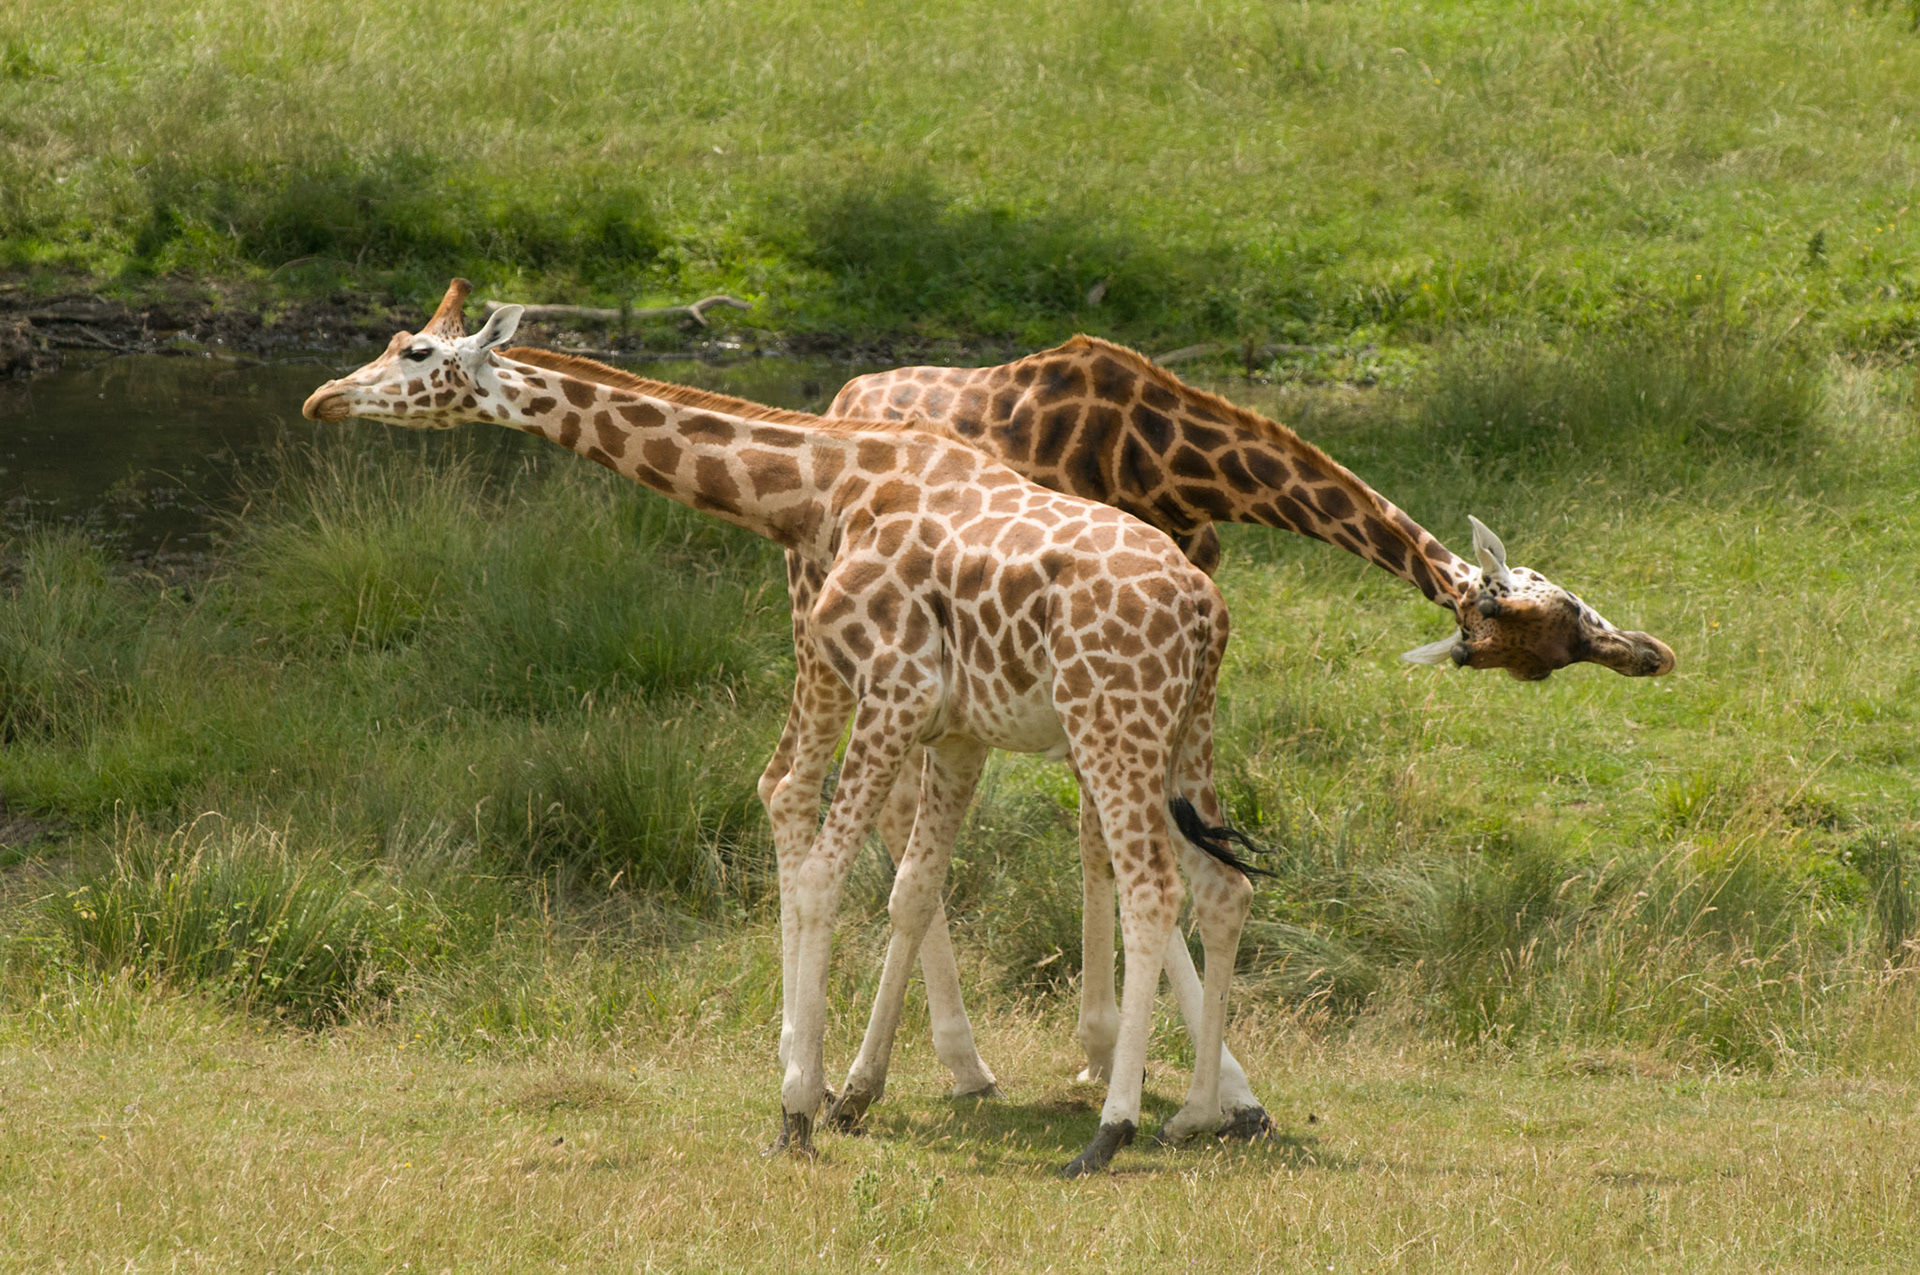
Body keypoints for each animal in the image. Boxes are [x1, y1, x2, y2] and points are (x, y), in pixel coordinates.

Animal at [301, 280, 1269, 1175]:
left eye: (418, 351)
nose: (324, 398)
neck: (822, 482)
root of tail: (1205, 606)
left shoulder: (896, 688)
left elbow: (819, 875)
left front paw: (800, 1105)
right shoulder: (949, 724)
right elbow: (908, 882)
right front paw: (851, 1088)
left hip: (1112, 724)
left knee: (1151, 889)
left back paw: (1112, 1129)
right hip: (1186, 734)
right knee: (1221, 886)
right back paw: (1202, 1113)